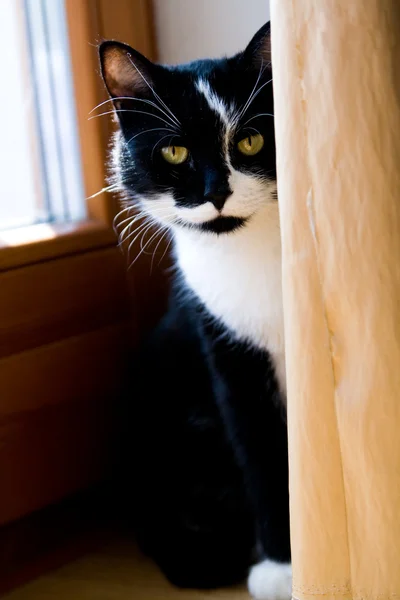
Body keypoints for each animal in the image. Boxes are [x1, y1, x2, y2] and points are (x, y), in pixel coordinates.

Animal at [99, 22, 290, 600]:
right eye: (175, 152)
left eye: (250, 139)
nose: (216, 191)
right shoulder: (226, 348)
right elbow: (260, 449)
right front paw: (282, 567)